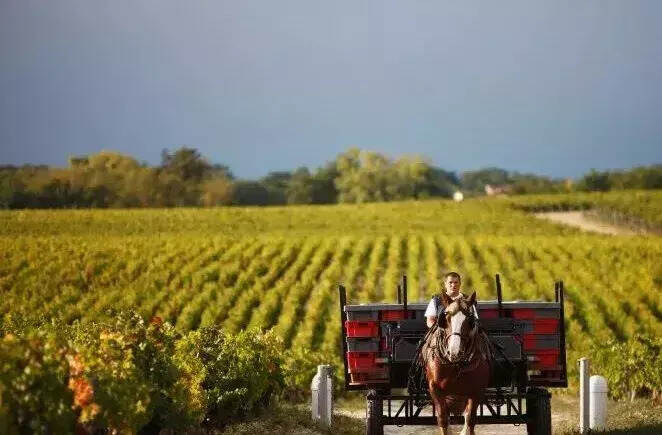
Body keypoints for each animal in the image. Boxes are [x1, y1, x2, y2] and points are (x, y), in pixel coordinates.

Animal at [422, 292, 496, 435]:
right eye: (446, 318)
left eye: (470, 320)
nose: (454, 351)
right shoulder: (435, 389)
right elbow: (443, 419)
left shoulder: (476, 390)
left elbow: (470, 419)